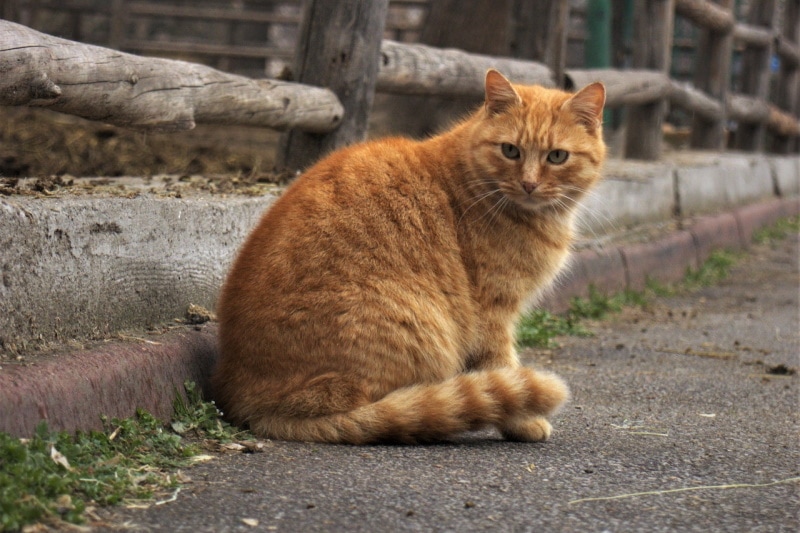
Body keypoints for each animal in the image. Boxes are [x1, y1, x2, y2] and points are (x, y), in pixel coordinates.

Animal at [212, 71, 608, 444]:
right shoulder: (492, 314)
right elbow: (505, 369)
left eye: (556, 156)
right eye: (510, 150)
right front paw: (524, 421)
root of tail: (250, 403)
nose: (529, 184)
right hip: (417, 329)